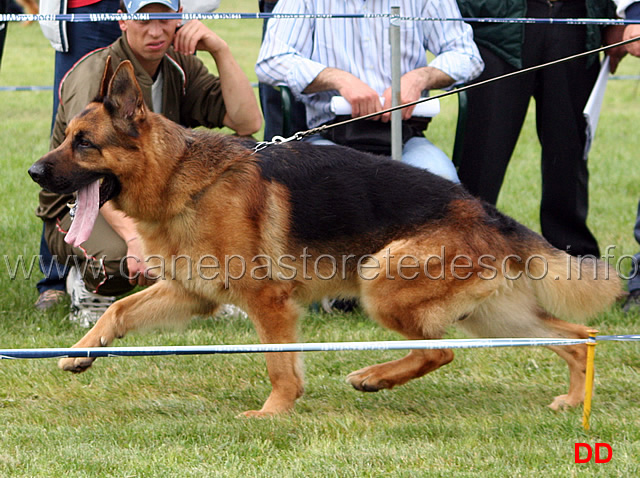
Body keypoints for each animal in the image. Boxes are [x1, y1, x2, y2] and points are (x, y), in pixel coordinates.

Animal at [27, 60, 624, 418]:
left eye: (84, 144)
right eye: (68, 137)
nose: (33, 173)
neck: (183, 179)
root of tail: (485, 210)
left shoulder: (268, 303)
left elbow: (279, 364)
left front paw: (273, 413)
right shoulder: (189, 293)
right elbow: (117, 310)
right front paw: (81, 354)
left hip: (382, 283)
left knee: (440, 349)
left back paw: (373, 377)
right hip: (492, 316)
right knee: (579, 337)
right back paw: (574, 400)